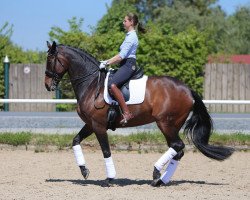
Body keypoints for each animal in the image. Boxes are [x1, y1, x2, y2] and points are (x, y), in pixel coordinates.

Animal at [45, 41, 234, 187]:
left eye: (50, 60)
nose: (47, 85)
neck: (91, 84)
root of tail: (188, 90)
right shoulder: (91, 124)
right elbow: (75, 141)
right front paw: (84, 170)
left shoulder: (99, 126)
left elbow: (106, 151)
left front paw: (110, 178)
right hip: (171, 126)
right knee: (178, 150)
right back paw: (161, 181)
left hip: (166, 123)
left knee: (178, 146)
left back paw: (156, 173)